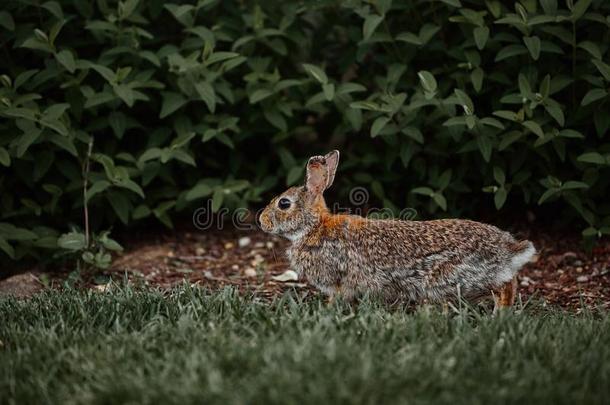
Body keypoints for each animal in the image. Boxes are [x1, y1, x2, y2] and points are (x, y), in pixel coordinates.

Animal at [256, 150, 532, 308]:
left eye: (284, 203)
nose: (261, 221)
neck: (315, 228)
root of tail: (510, 250)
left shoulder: (339, 278)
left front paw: (328, 310)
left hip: (454, 278)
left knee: (502, 287)